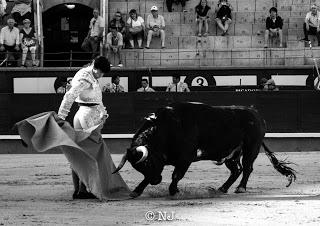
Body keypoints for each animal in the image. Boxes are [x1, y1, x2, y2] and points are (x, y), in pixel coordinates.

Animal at [112, 101, 296, 197]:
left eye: (148, 163)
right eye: (139, 167)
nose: (156, 181)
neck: (166, 128)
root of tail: (256, 114)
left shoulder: (185, 158)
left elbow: (176, 175)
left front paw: (174, 191)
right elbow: (152, 177)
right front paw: (136, 191)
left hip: (252, 147)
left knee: (247, 168)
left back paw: (240, 188)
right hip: (231, 154)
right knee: (236, 170)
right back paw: (222, 188)